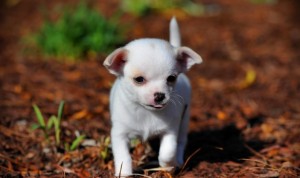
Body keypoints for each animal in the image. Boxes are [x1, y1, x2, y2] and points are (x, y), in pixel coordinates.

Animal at [102, 17, 202, 176]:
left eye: (171, 78)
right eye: (139, 79)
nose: (160, 95)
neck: (147, 112)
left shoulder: (170, 130)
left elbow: (168, 151)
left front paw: (167, 166)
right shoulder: (119, 134)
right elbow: (123, 156)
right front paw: (124, 173)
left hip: (184, 120)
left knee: (181, 142)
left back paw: (179, 160)